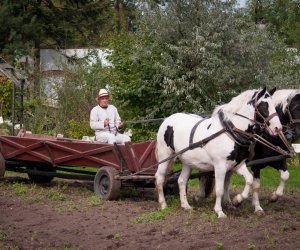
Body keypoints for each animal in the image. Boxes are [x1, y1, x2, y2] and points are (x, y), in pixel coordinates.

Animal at [154, 87, 282, 218]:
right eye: (264, 105)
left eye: (274, 105)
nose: (278, 128)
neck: (230, 132)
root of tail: (167, 119)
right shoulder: (220, 167)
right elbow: (219, 190)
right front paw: (219, 211)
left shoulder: (238, 164)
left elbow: (249, 180)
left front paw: (237, 200)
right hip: (165, 156)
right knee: (159, 177)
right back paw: (163, 204)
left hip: (187, 162)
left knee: (181, 181)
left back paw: (186, 206)